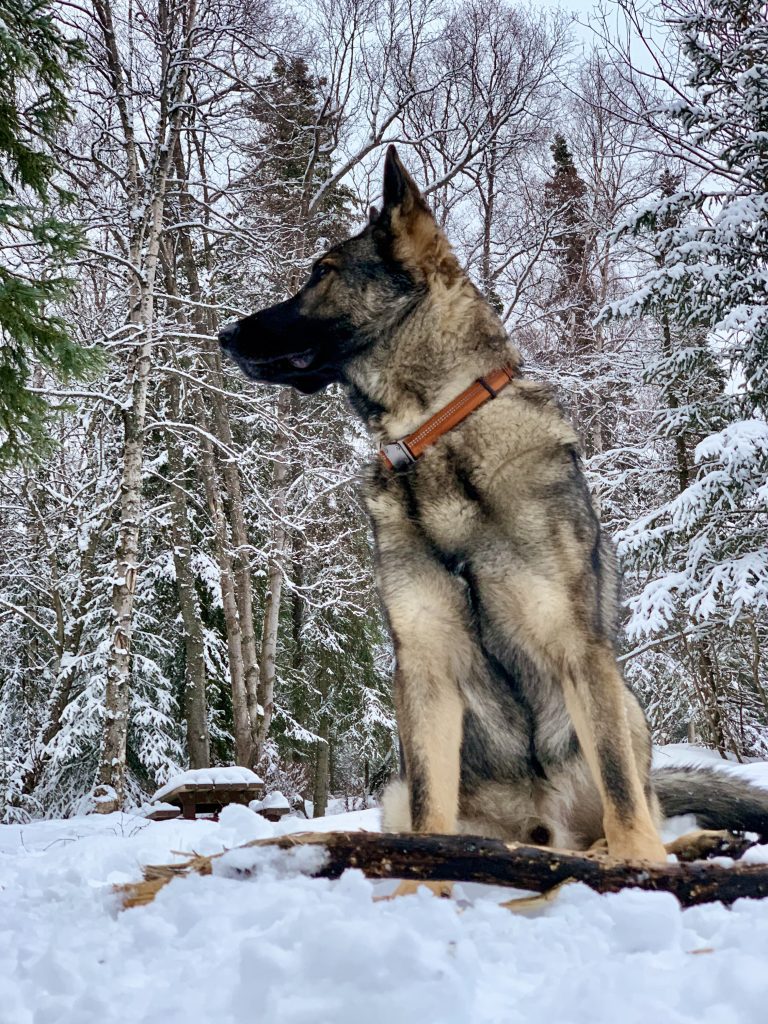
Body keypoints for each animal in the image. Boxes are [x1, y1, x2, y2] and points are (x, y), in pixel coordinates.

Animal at [219, 148, 768, 868]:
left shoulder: (577, 649)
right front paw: (423, 872)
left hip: (624, 704)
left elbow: (623, 793)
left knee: (634, 805)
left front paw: (641, 862)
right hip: (411, 784)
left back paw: (682, 844)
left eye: (323, 273)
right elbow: (431, 805)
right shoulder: (424, 667)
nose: (224, 334)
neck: (434, 435)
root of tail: (540, 833)